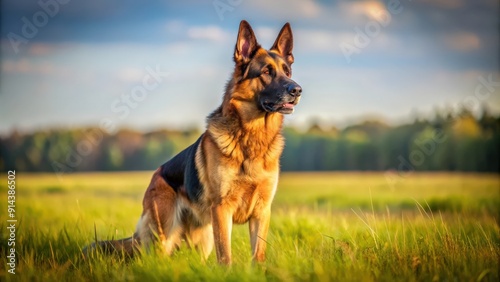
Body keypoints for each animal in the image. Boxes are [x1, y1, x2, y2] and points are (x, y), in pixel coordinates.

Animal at [85, 20, 300, 264]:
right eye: (266, 72)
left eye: (287, 71)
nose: (297, 90)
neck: (251, 137)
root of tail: (156, 175)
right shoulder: (222, 210)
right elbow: (225, 257)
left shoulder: (262, 212)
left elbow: (258, 254)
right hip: (164, 235)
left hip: (204, 237)